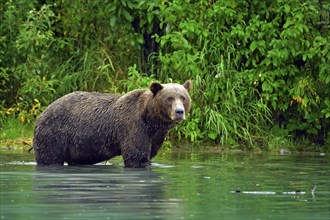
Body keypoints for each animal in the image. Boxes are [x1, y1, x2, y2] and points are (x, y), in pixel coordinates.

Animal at [32, 80, 192, 168]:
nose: (179, 112)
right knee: (50, 158)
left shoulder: (156, 135)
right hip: (54, 134)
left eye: (183, 97)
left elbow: (149, 154)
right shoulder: (133, 126)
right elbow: (136, 156)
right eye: (169, 98)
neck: (151, 119)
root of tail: (41, 113)